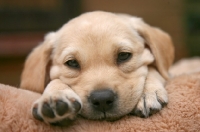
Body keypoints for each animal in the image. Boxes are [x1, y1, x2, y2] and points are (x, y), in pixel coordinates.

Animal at [19, 10, 173, 125]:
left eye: (124, 55)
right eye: (72, 63)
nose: (102, 100)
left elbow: (153, 69)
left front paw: (148, 92)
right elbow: (55, 80)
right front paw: (55, 96)